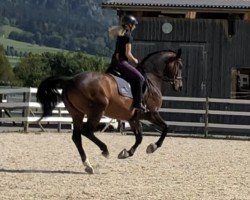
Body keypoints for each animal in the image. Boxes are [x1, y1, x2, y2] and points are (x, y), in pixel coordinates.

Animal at [36, 48, 183, 173]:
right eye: (180, 66)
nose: (180, 86)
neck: (152, 78)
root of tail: (72, 79)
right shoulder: (151, 114)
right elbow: (165, 128)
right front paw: (153, 147)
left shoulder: (134, 118)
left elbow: (140, 137)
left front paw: (126, 153)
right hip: (96, 111)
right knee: (87, 131)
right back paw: (104, 150)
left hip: (77, 114)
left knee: (77, 137)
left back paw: (88, 165)